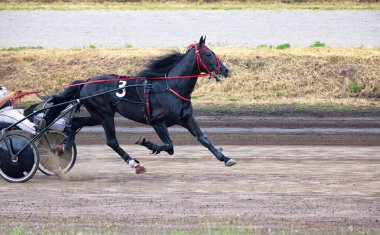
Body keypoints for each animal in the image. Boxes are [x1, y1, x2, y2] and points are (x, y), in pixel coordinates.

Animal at [43, 36, 236, 173]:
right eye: (209, 54)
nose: (226, 70)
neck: (172, 87)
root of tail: (87, 81)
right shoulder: (158, 123)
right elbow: (170, 146)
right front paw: (147, 143)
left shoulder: (187, 118)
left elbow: (204, 139)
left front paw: (225, 158)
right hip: (104, 115)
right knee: (111, 141)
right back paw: (133, 163)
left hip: (97, 115)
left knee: (75, 123)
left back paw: (64, 149)